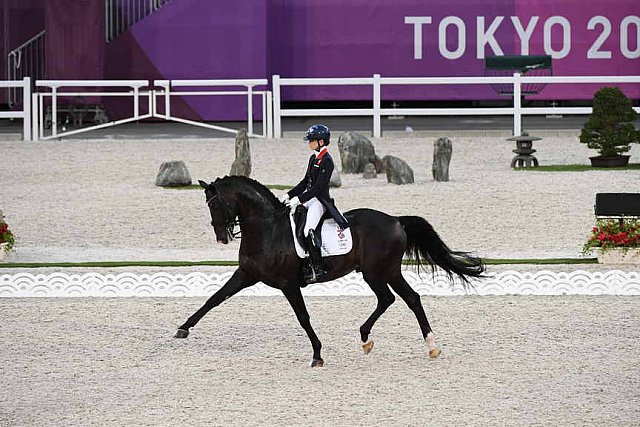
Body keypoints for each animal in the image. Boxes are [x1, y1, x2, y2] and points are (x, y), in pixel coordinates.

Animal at [175, 176, 484, 366]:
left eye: (216, 204)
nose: (221, 237)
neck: (266, 229)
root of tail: (396, 220)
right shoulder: (246, 275)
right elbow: (214, 299)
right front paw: (183, 328)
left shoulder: (288, 284)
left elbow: (303, 317)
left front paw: (317, 354)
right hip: (383, 272)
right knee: (404, 299)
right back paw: (392, 342)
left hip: (378, 272)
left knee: (397, 299)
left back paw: (412, 343)